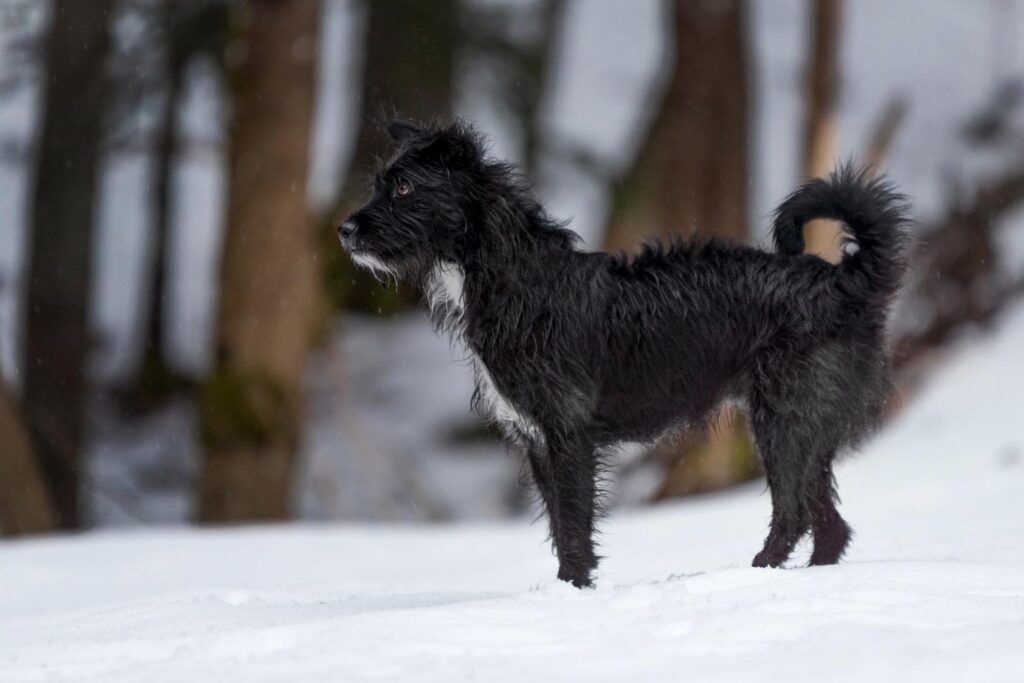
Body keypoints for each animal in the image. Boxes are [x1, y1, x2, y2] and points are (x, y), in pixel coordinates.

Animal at [339, 118, 909, 589]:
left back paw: (754, 574)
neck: (514, 280)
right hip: (805, 431)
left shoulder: (568, 437)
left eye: (404, 187)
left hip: (784, 423)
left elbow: (573, 525)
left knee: (794, 515)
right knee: (831, 526)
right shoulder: (539, 443)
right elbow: (561, 525)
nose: (344, 230)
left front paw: (573, 593)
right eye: (380, 184)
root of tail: (840, 280)